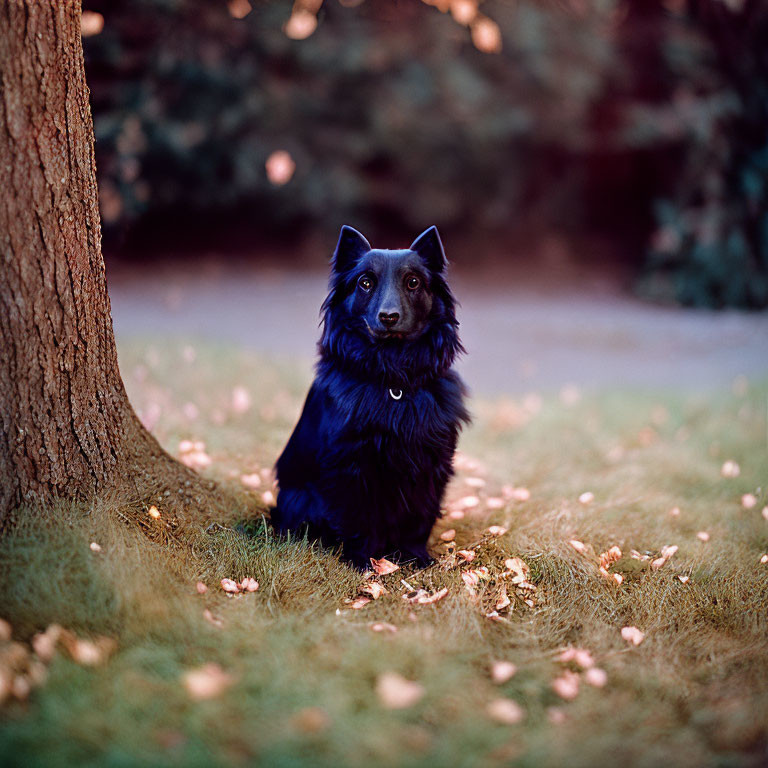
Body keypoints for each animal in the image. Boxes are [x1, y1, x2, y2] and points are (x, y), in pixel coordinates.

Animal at [272, 225, 472, 568]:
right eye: (365, 283)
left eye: (413, 282)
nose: (388, 316)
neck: (394, 381)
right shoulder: (351, 465)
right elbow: (357, 518)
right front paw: (362, 561)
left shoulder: (430, 461)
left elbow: (420, 517)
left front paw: (416, 557)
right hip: (302, 498)